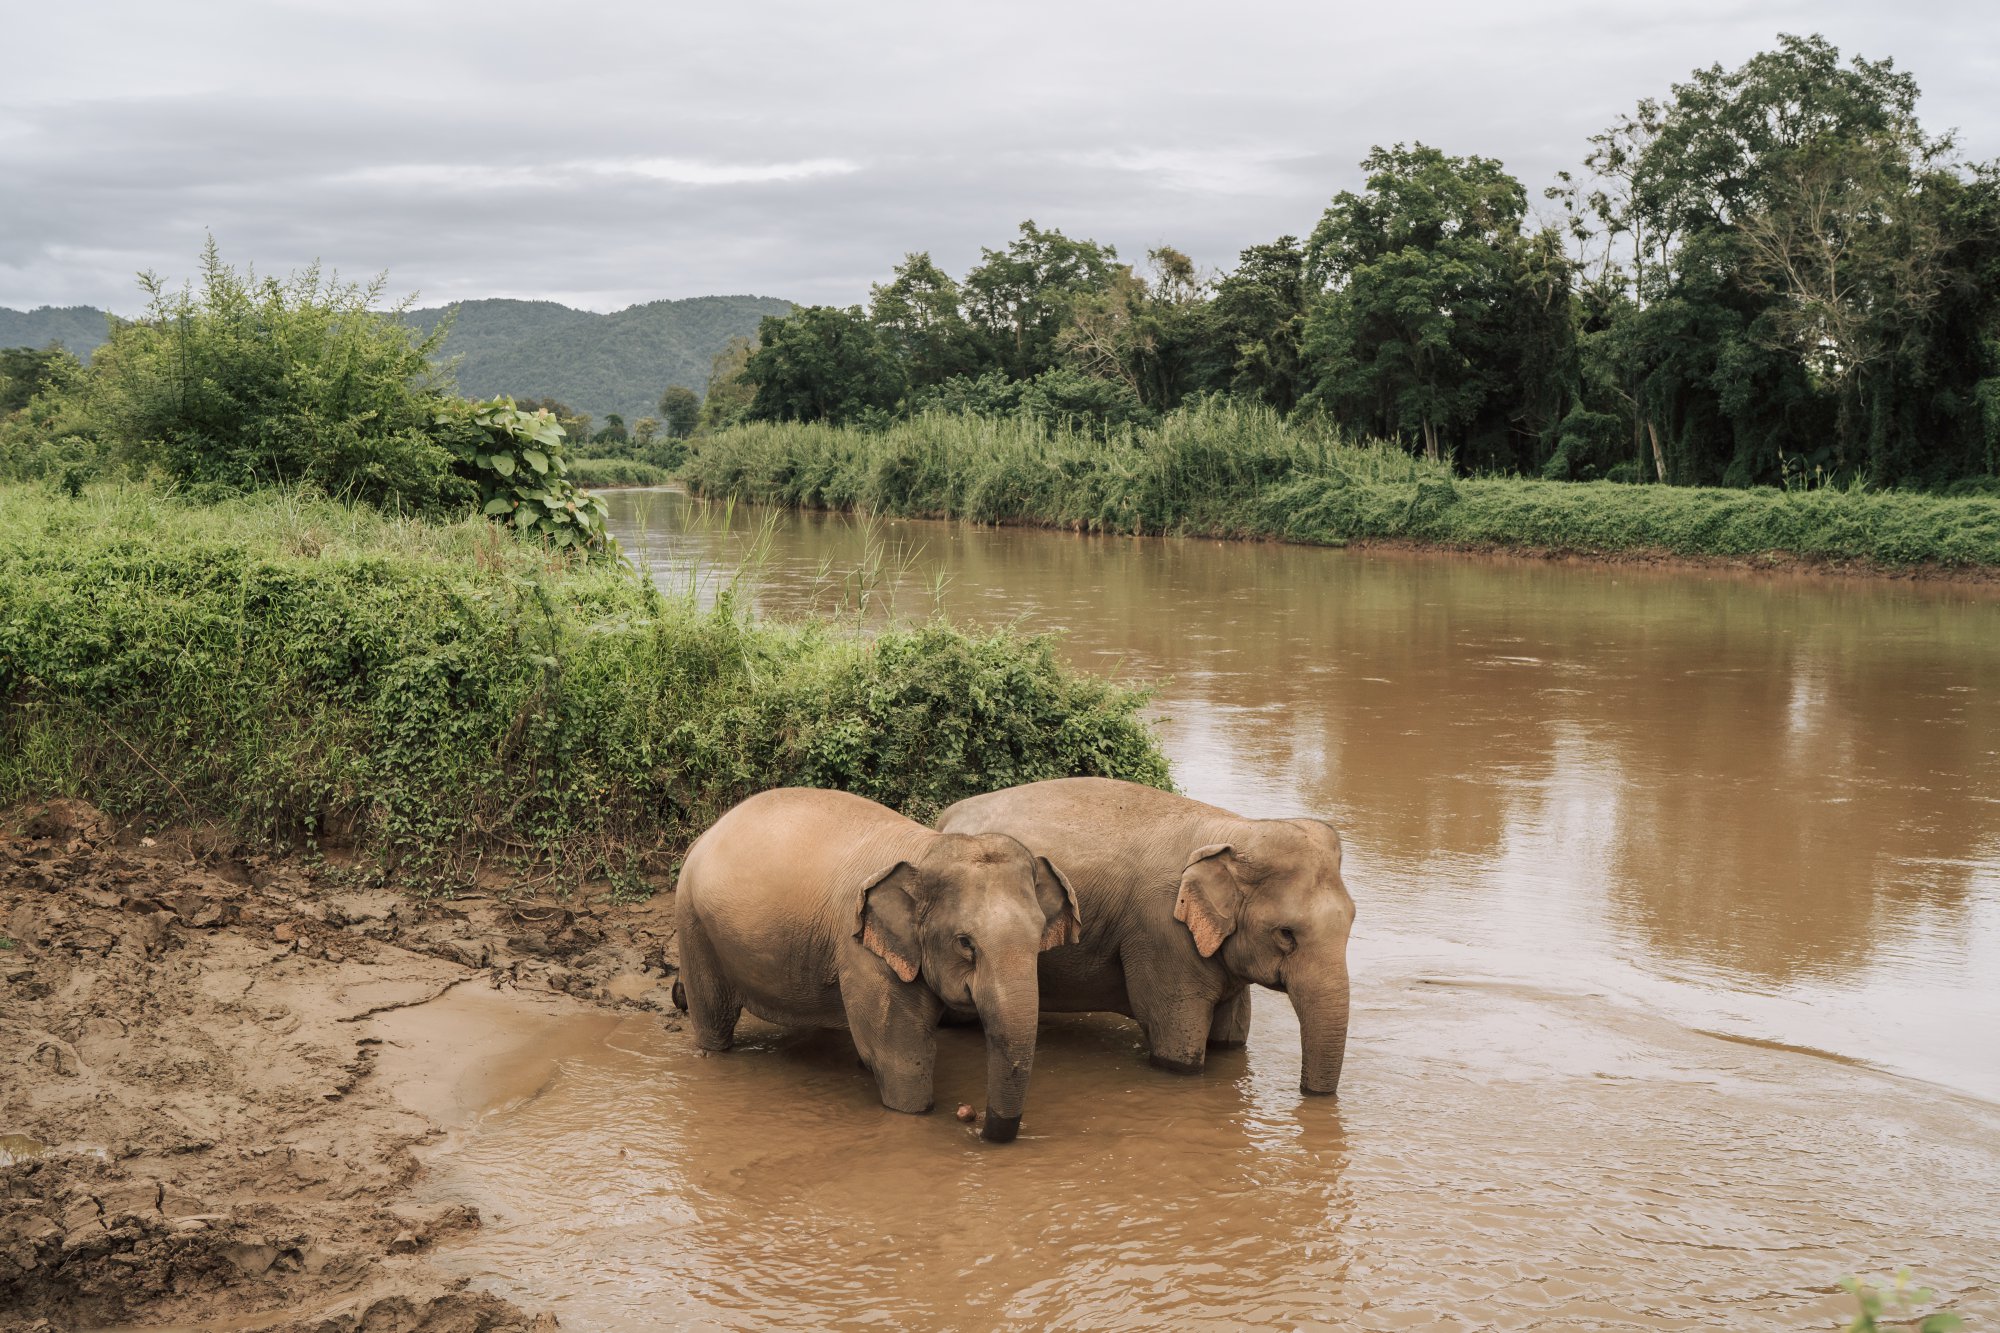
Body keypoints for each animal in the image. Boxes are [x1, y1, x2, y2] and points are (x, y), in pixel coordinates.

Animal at [672, 784, 1080, 1136]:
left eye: (1038, 936)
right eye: (965, 943)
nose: (977, 1123)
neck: (927, 848)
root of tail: (704, 835)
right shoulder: (860, 948)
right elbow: (898, 1056)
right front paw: (915, 1113)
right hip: (693, 922)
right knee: (713, 1018)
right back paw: (714, 1054)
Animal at [936, 772, 1360, 1096]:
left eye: (1353, 921)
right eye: (1286, 934)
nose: (1308, 1094)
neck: (1236, 830)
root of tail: (944, 819)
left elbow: (1232, 1035)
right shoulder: (1163, 934)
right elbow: (1176, 1042)